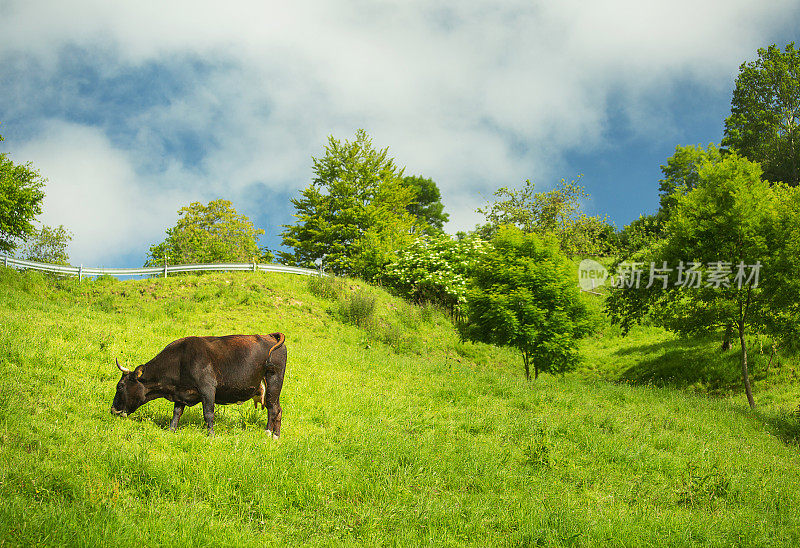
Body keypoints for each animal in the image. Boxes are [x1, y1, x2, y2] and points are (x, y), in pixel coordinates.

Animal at [111, 332, 288, 438]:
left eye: (120, 386)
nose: (113, 410)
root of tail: (269, 336)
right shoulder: (180, 394)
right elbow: (176, 413)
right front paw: (171, 430)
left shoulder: (207, 388)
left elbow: (208, 413)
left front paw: (211, 435)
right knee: (276, 409)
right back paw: (274, 435)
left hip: (274, 380)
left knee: (273, 409)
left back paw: (271, 434)